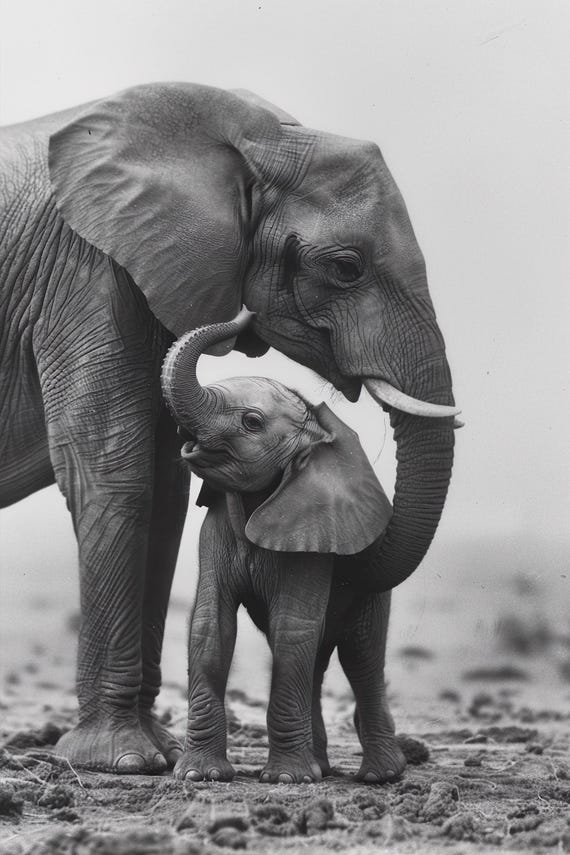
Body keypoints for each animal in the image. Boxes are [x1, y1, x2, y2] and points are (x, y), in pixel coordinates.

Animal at [161, 308, 402, 784]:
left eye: (251, 422)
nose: (246, 313)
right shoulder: (217, 526)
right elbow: (210, 626)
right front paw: (199, 775)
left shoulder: (311, 532)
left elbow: (292, 628)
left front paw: (287, 779)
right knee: (316, 660)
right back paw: (321, 767)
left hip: (372, 590)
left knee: (361, 656)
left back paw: (380, 775)